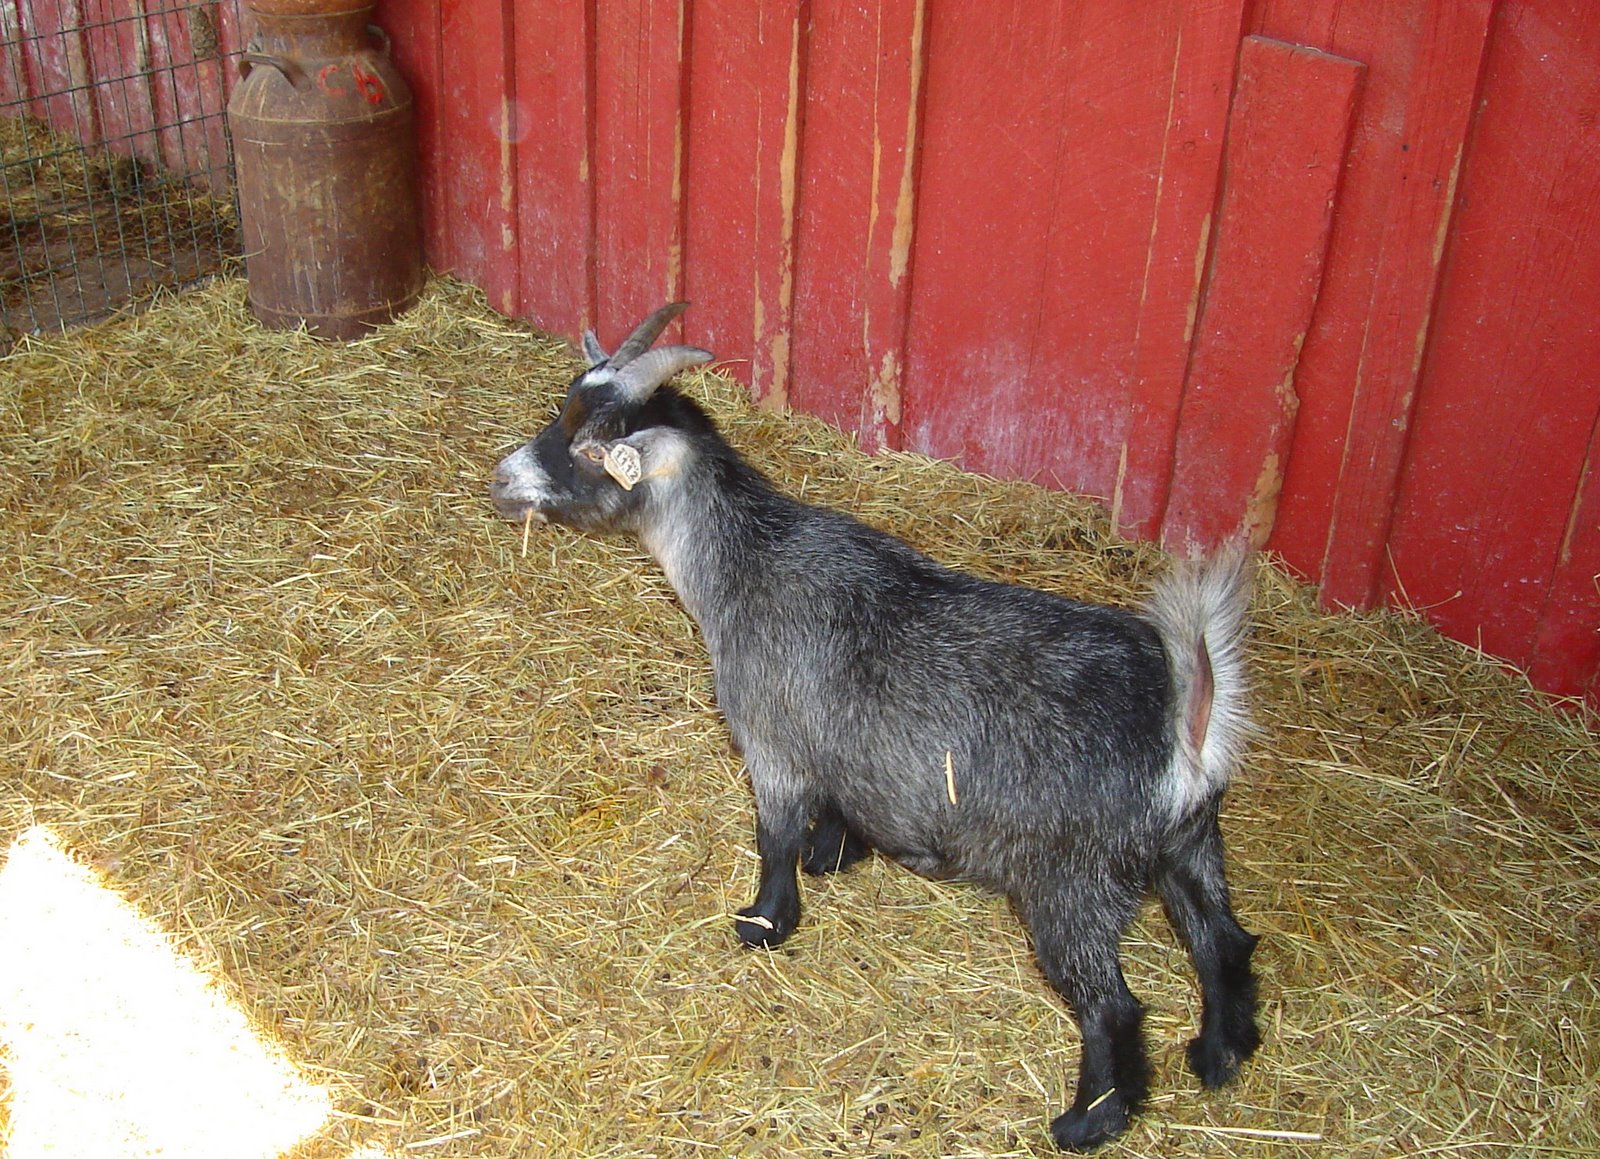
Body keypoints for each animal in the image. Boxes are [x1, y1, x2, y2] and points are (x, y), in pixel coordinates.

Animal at [489, 302, 1262, 1151]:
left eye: (587, 443)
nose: (503, 479)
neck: (742, 564)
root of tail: (1185, 722)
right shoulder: (837, 747)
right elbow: (835, 808)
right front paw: (835, 854)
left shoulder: (773, 744)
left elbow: (774, 836)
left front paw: (765, 921)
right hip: (1189, 843)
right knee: (1222, 939)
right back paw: (1220, 1052)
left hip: (1074, 881)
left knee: (1111, 1002)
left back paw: (1089, 1119)